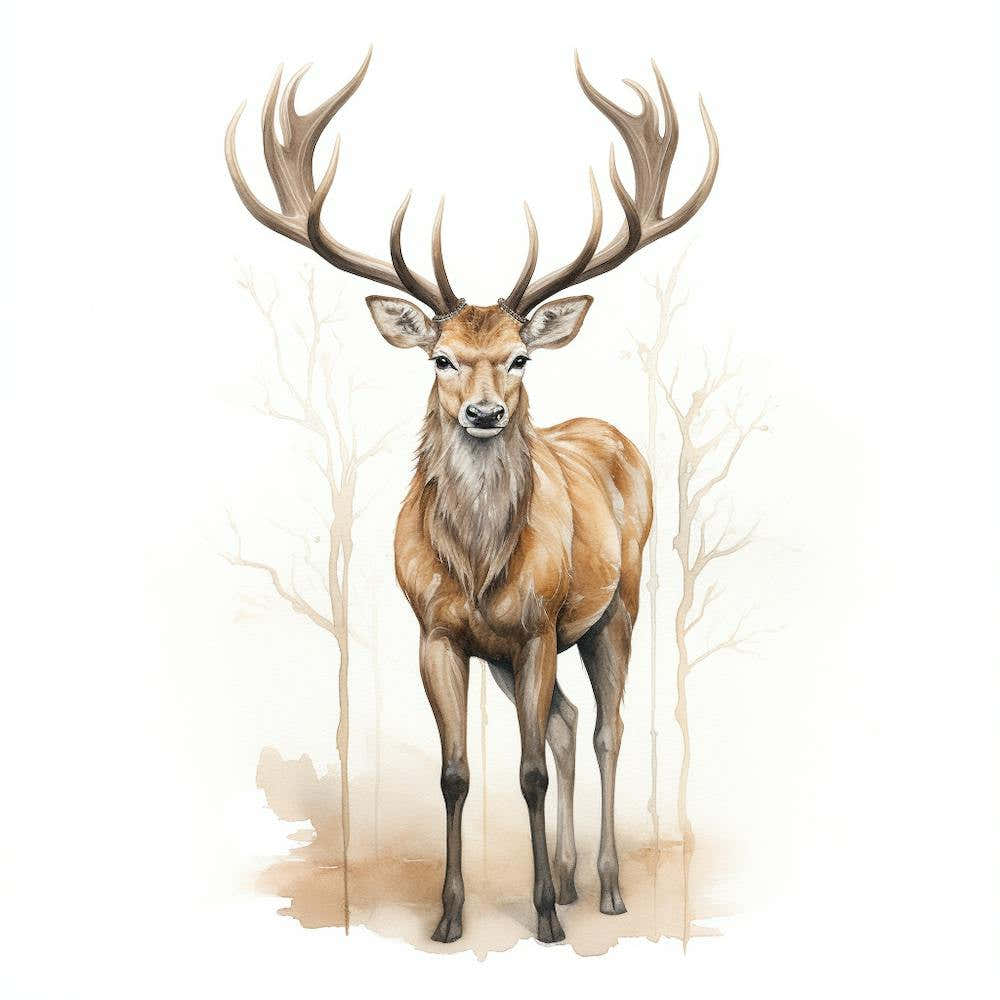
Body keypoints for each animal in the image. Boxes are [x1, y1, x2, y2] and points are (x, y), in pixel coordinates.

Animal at [225, 48, 718, 944]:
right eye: (441, 358)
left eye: (520, 356)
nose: (486, 413)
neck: (481, 564)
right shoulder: (440, 630)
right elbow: (457, 773)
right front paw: (451, 916)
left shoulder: (538, 625)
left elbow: (525, 772)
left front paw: (546, 917)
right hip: (517, 650)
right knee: (566, 722)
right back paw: (568, 874)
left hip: (619, 603)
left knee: (606, 729)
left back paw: (603, 887)